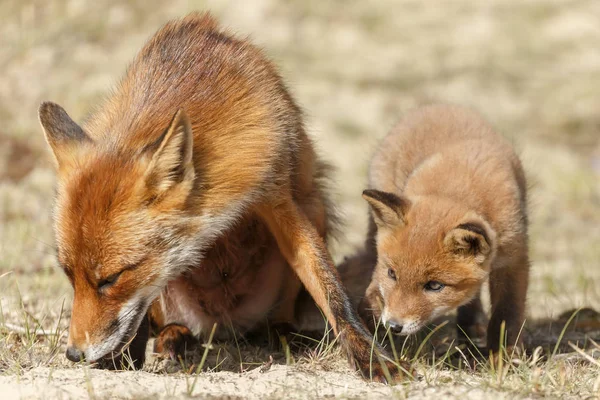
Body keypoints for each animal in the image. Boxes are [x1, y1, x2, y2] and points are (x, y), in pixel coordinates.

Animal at [37, 11, 404, 382]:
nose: (73, 354)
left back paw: (281, 333)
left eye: (111, 279)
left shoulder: (277, 196)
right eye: (69, 275)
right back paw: (174, 337)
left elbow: (331, 291)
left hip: (315, 210)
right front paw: (124, 359)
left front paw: (372, 358)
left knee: (278, 317)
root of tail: (226, 327)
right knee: (167, 324)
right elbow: (136, 319)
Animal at [358, 104, 528, 354]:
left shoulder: (513, 258)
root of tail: (436, 106)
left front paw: (503, 356)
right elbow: (375, 286)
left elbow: (506, 315)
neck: (460, 183)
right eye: (392, 274)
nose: (393, 326)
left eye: (434, 286)